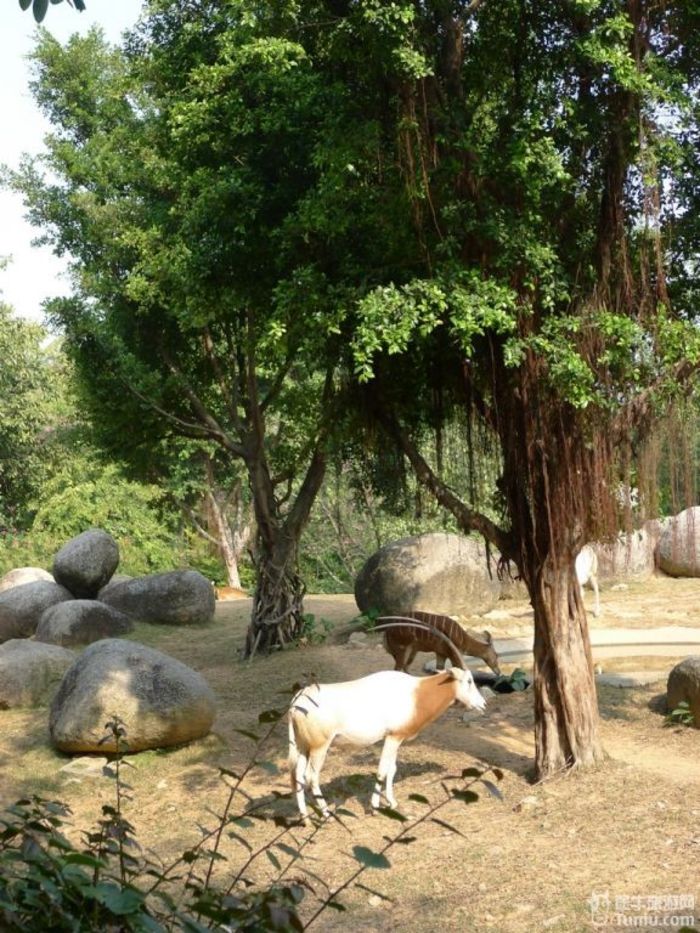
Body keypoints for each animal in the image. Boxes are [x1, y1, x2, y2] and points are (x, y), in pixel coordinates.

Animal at [288, 668, 484, 820]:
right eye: (469, 680)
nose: (483, 704)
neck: (416, 694)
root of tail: (296, 704)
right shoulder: (392, 738)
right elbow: (382, 770)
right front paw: (374, 808)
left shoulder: (396, 738)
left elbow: (392, 770)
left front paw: (392, 803)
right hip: (319, 747)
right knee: (311, 777)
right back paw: (327, 814)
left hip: (303, 747)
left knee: (298, 776)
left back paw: (305, 817)